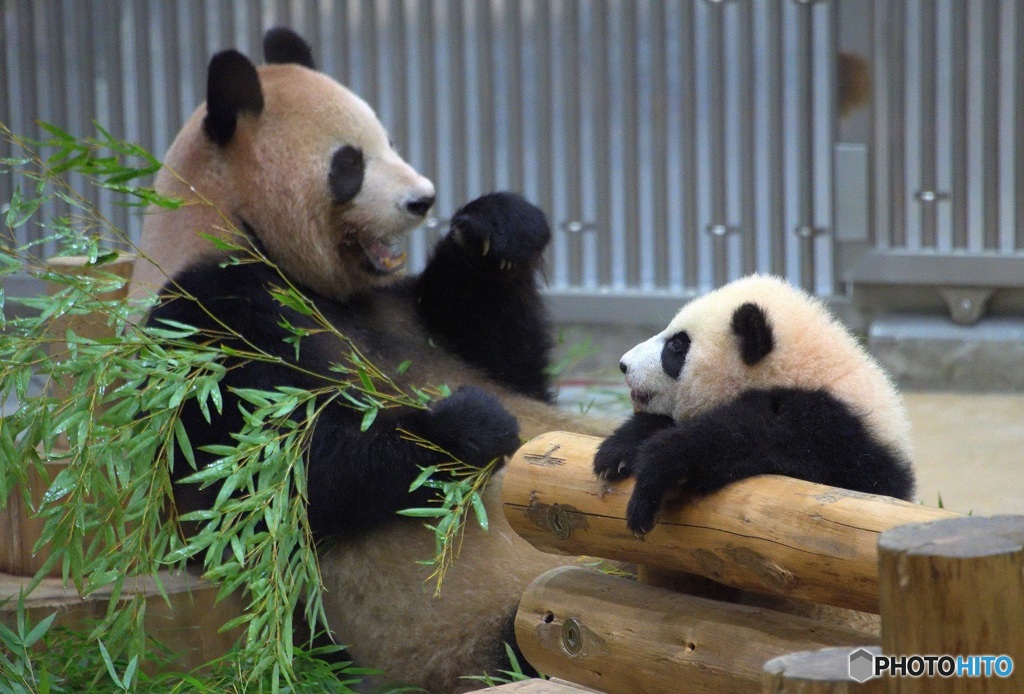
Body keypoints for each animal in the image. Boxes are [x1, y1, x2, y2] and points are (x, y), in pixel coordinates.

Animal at [131, 28, 602, 694]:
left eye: (390, 142)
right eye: (349, 164)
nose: (424, 199)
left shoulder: (405, 315)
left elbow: (515, 365)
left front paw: (496, 227)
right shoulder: (201, 321)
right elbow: (278, 470)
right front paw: (467, 426)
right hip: (487, 627)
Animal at [598, 274, 917, 536]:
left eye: (677, 346)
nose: (624, 365)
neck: (801, 370)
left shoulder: (833, 435)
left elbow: (747, 438)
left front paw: (654, 473)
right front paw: (617, 451)